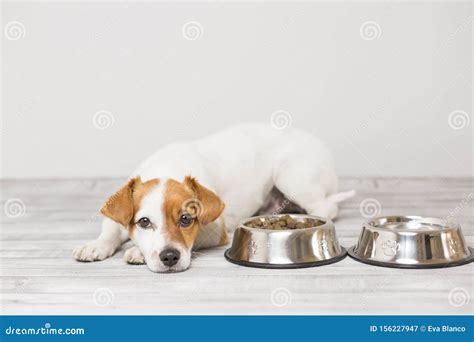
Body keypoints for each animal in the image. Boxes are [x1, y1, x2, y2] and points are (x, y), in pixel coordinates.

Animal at [74, 125, 354, 272]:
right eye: (144, 222)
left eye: (186, 219)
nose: (169, 257)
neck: (166, 167)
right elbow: (111, 230)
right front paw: (96, 245)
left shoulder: (215, 230)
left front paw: (137, 251)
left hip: (292, 178)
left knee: (326, 206)